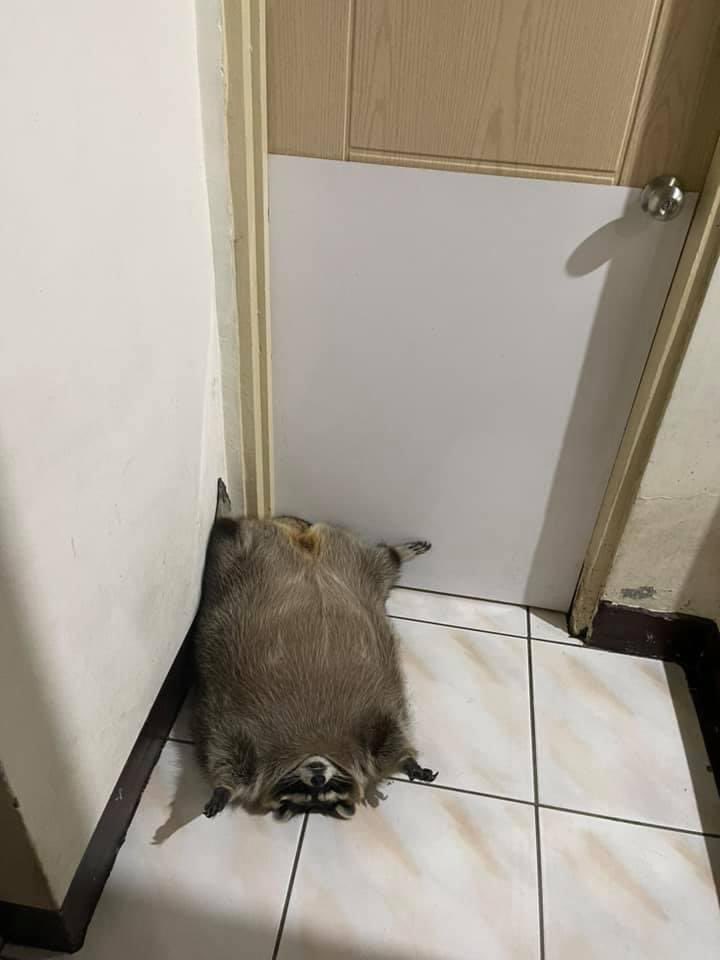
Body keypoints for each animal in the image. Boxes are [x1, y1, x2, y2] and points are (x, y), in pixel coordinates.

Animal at [192, 479, 437, 821]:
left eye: (329, 789)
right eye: (302, 791)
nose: (318, 774)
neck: (313, 744)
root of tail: (302, 536)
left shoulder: (376, 719)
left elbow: (393, 738)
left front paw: (407, 761)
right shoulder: (232, 724)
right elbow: (222, 754)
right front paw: (222, 789)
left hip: (356, 562)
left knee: (384, 562)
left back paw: (397, 551)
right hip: (236, 558)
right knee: (224, 537)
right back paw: (224, 514)